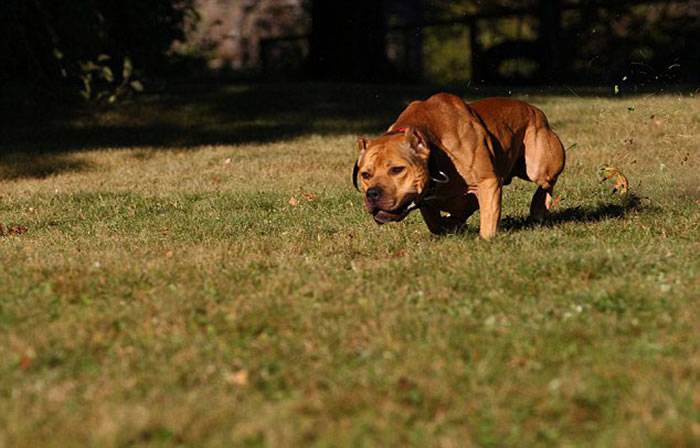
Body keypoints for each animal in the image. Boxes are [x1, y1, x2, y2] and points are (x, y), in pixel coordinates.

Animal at [352, 93, 568, 240]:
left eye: (397, 169)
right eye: (365, 175)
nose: (372, 193)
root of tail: (535, 109)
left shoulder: (487, 182)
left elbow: (488, 219)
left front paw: (485, 240)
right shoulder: (428, 198)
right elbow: (436, 223)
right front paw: (451, 225)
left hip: (539, 164)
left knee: (547, 183)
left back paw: (539, 207)